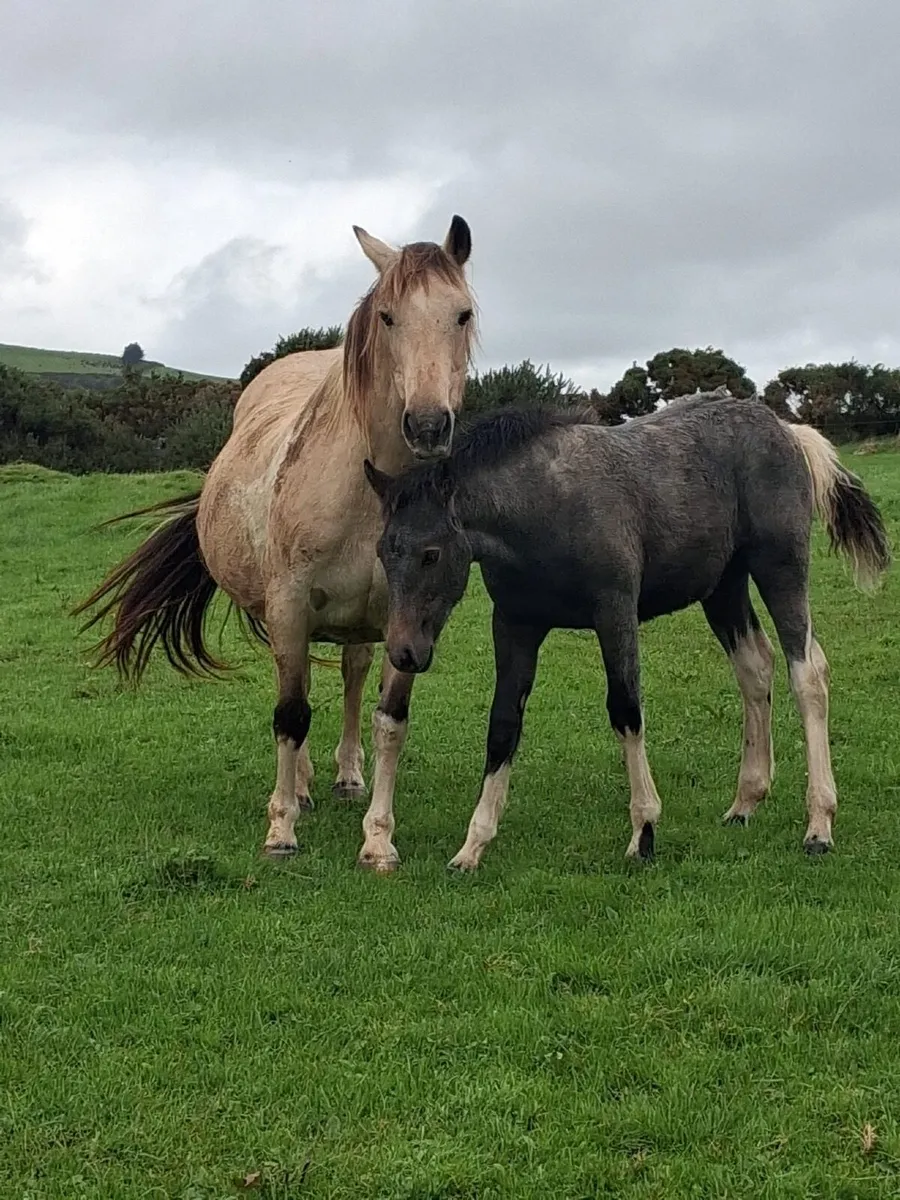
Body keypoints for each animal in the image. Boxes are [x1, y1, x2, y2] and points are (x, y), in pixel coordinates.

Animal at [74, 215, 476, 869]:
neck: (369, 494)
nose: (426, 426)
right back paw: (304, 787)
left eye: (461, 313)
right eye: (388, 316)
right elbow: (290, 714)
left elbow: (389, 719)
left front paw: (378, 839)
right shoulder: (288, 607)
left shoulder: (410, 621)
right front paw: (281, 828)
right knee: (300, 689)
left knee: (351, 673)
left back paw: (346, 775)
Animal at [363, 391, 891, 870]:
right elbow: (503, 725)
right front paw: (473, 846)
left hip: (780, 567)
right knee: (755, 668)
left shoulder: (614, 612)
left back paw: (819, 825)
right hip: (723, 587)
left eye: (431, 553)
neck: (544, 505)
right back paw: (746, 802)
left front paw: (644, 831)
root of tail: (787, 429)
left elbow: (625, 709)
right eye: (383, 550)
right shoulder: (515, 624)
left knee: (808, 674)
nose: (404, 653)